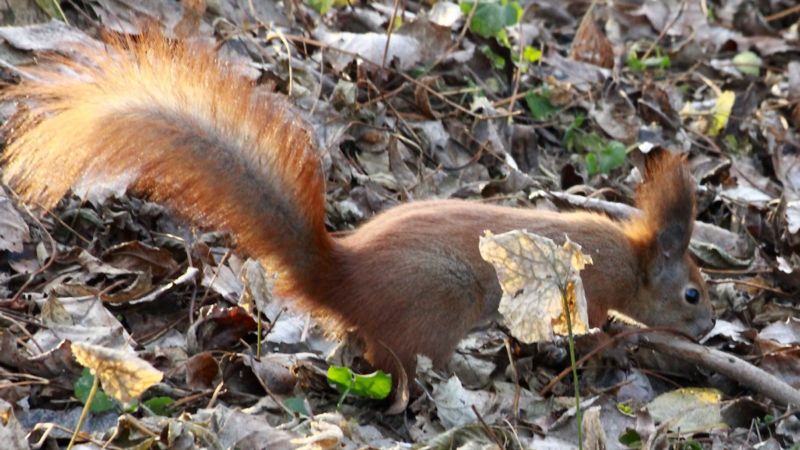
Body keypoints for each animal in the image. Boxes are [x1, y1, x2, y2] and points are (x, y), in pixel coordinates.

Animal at [0, 33, 712, 388]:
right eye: (694, 294)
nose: (709, 330)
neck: (631, 257)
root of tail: (341, 276)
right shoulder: (584, 290)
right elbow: (583, 331)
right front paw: (609, 347)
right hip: (436, 303)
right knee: (399, 362)